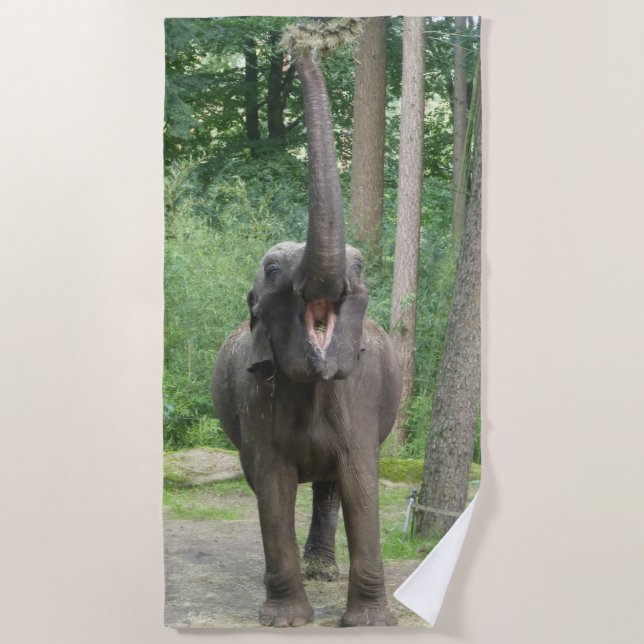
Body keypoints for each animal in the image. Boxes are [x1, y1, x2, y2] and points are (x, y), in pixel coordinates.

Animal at [211, 51, 402, 628]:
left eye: (359, 267)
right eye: (273, 270)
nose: (302, 47)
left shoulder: (360, 396)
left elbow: (362, 484)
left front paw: (369, 623)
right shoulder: (255, 396)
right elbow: (271, 487)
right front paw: (285, 620)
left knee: (329, 486)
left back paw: (322, 570)